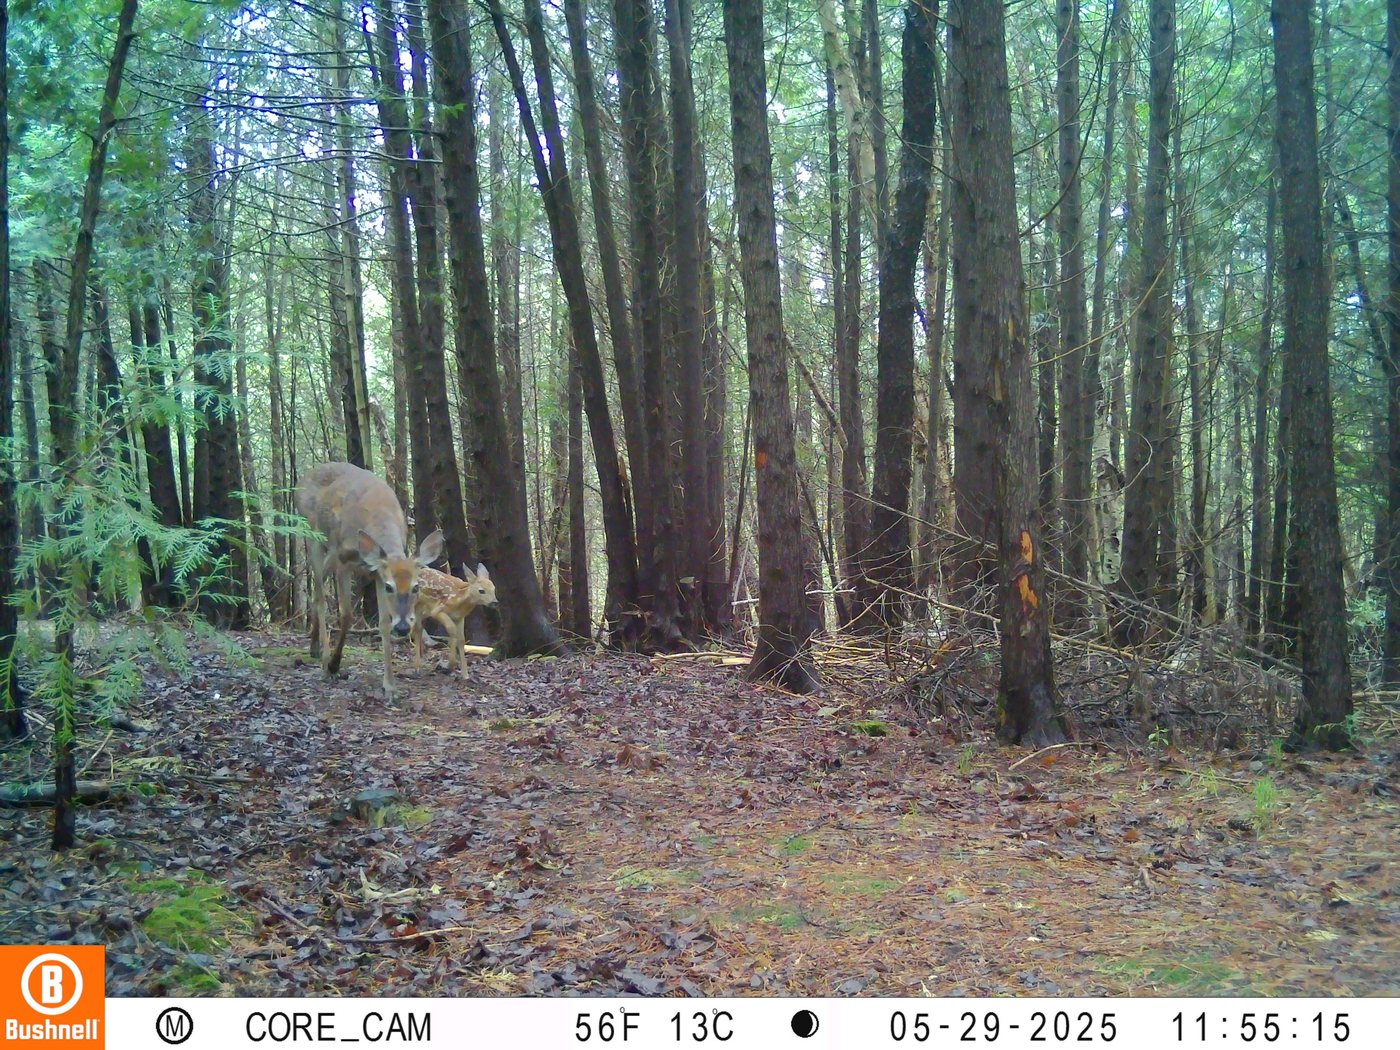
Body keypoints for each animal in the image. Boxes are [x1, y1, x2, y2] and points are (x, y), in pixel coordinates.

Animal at [295, 462, 444, 700]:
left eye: (416, 587)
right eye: (390, 586)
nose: (403, 627)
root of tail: (304, 476)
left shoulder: (376, 573)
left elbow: (383, 624)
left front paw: (390, 687)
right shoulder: (342, 560)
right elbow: (346, 614)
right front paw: (334, 665)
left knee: (318, 592)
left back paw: (314, 647)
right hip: (314, 536)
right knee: (319, 596)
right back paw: (324, 661)